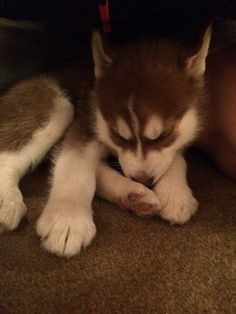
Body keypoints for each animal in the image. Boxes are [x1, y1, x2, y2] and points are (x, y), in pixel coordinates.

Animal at [0, 27, 210, 258]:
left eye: (164, 135)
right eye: (118, 135)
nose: (143, 179)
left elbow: (175, 157)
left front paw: (175, 193)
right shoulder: (86, 122)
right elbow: (75, 166)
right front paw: (67, 218)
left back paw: (133, 196)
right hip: (56, 104)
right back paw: (6, 201)